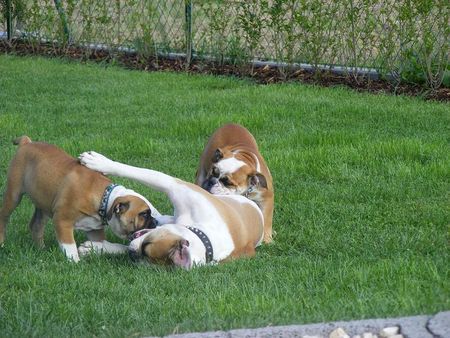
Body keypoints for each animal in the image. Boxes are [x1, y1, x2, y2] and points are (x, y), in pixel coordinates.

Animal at [0, 137, 160, 262]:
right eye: (144, 214)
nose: (155, 222)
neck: (105, 198)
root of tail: (26, 142)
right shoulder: (62, 221)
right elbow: (69, 245)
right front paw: (74, 262)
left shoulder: (94, 229)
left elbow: (99, 244)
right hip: (13, 194)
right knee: (4, 217)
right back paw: (2, 243)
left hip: (44, 202)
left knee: (36, 225)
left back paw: (41, 249)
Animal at [79, 151, 266, 270]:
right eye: (147, 244)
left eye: (146, 253)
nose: (134, 256)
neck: (204, 234)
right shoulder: (173, 184)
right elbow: (140, 172)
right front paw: (99, 162)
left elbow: (125, 246)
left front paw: (96, 248)